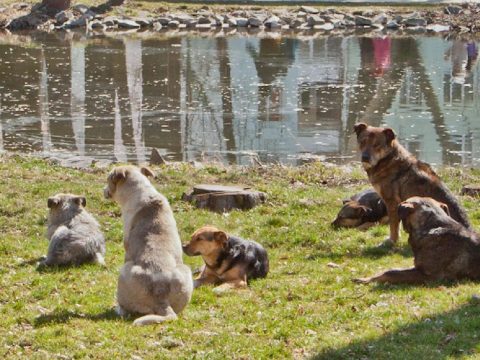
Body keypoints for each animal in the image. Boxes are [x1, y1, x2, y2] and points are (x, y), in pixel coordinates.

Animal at [104, 166, 193, 326]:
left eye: (108, 179)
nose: (104, 190)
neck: (142, 191)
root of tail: (160, 296)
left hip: (124, 271)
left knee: (126, 309)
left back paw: (119, 309)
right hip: (186, 271)